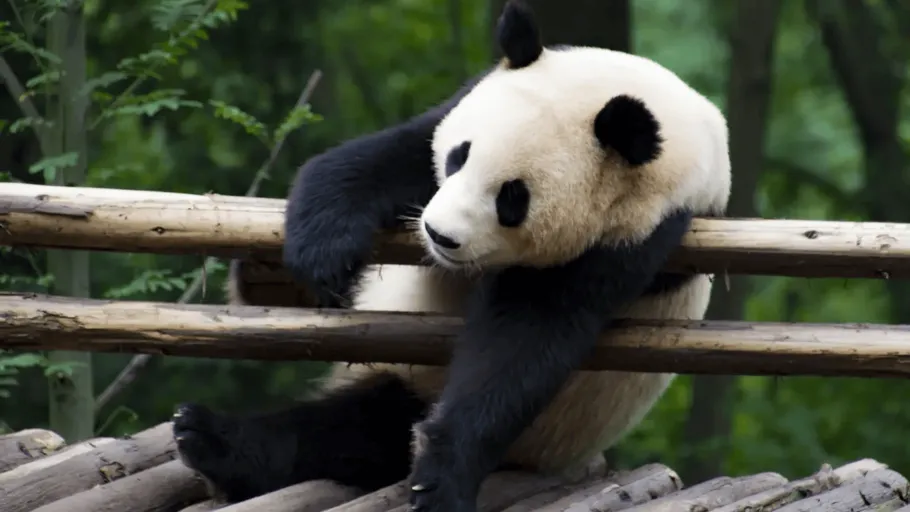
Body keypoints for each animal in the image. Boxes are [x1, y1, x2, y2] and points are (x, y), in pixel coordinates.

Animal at [171, 1, 731, 511]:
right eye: (461, 155)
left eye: (512, 199)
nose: (439, 235)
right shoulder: (464, 103)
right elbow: (390, 156)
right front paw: (323, 253)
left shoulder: (637, 234)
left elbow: (524, 340)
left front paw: (442, 476)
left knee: (352, 432)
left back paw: (216, 441)